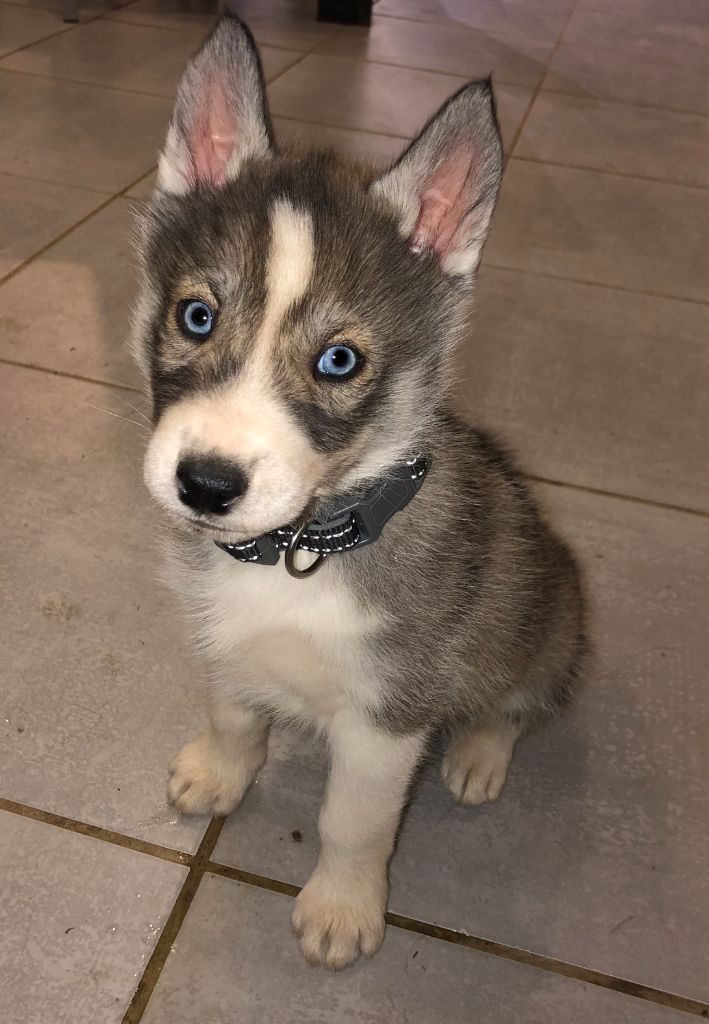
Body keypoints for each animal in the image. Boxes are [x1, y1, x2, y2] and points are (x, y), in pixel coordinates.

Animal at [132, 12, 587, 971]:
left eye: (338, 360)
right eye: (196, 315)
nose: (206, 484)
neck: (296, 553)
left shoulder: (388, 715)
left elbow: (354, 821)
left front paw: (341, 905)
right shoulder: (227, 636)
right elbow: (234, 711)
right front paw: (221, 769)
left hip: (548, 613)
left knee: (520, 699)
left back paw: (479, 752)